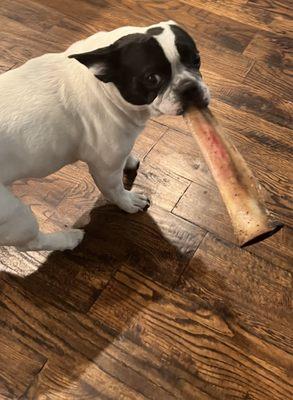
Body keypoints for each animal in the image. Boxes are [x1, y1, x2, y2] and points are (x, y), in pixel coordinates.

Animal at [0, 21, 210, 250]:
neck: (106, 87)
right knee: (31, 243)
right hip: (15, 215)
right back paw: (68, 239)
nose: (189, 87)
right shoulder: (105, 169)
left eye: (197, 60)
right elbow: (115, 190)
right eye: (151, 79)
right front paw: (129, 202)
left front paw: (130, 160)